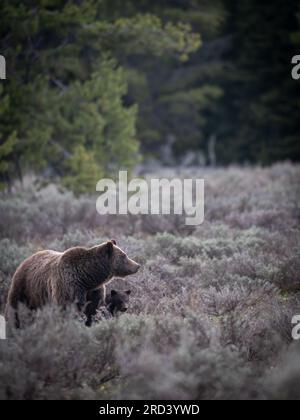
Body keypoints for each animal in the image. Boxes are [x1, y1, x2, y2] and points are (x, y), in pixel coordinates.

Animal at [4, 240, 140, 328]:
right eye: (124, 256)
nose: (137, 265)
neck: (87, 278)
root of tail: (26, 259)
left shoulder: (94, 291)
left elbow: (92, 310)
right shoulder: (69, 287)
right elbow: (68, 309)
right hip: (24, 287)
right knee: (14, 307)